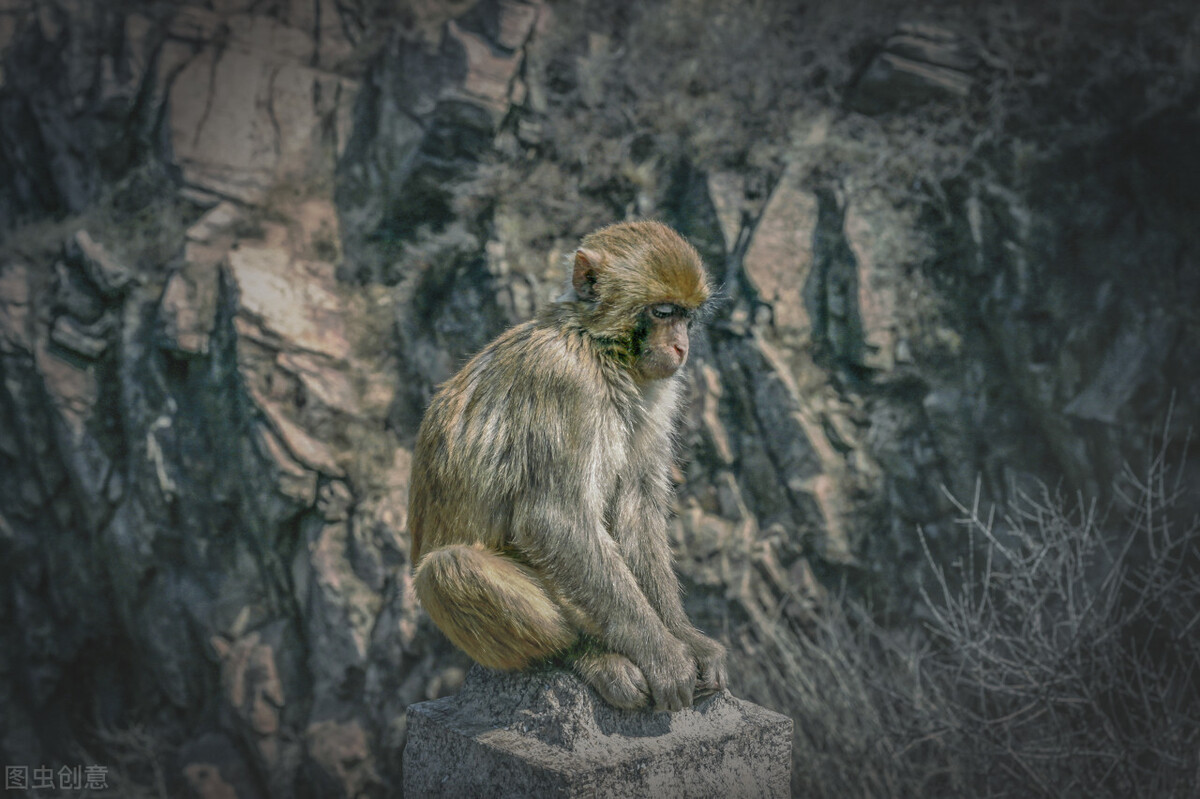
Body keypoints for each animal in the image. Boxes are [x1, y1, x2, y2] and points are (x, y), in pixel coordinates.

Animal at [408, 218, 724, 710]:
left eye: (686, 316)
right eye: (662, 312)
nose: (681, 347)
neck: (599, 348)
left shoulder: (660, 391)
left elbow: (636, 511)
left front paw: (685, 638)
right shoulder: (565, 382)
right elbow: (554, 520)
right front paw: (662, 655)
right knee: (447, 568)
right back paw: (587, 653)